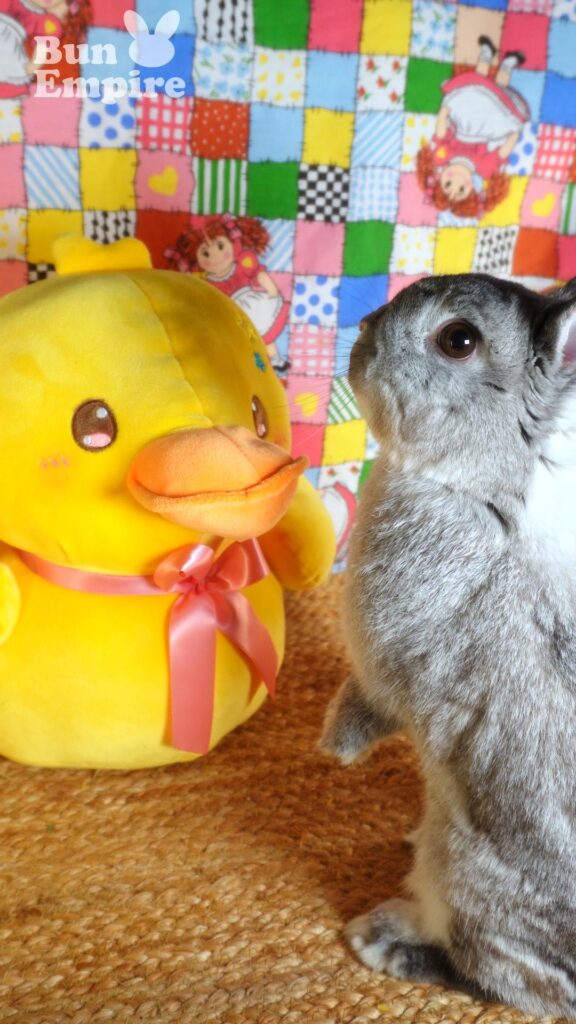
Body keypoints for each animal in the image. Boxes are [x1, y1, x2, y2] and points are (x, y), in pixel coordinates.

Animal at [321, 273, 576, 1019]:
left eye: (458, 339)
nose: (364, 333)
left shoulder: (386, 661)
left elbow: (370, 702)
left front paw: (334, 749)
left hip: (470, 876)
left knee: (505, 981)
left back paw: (382, 939)